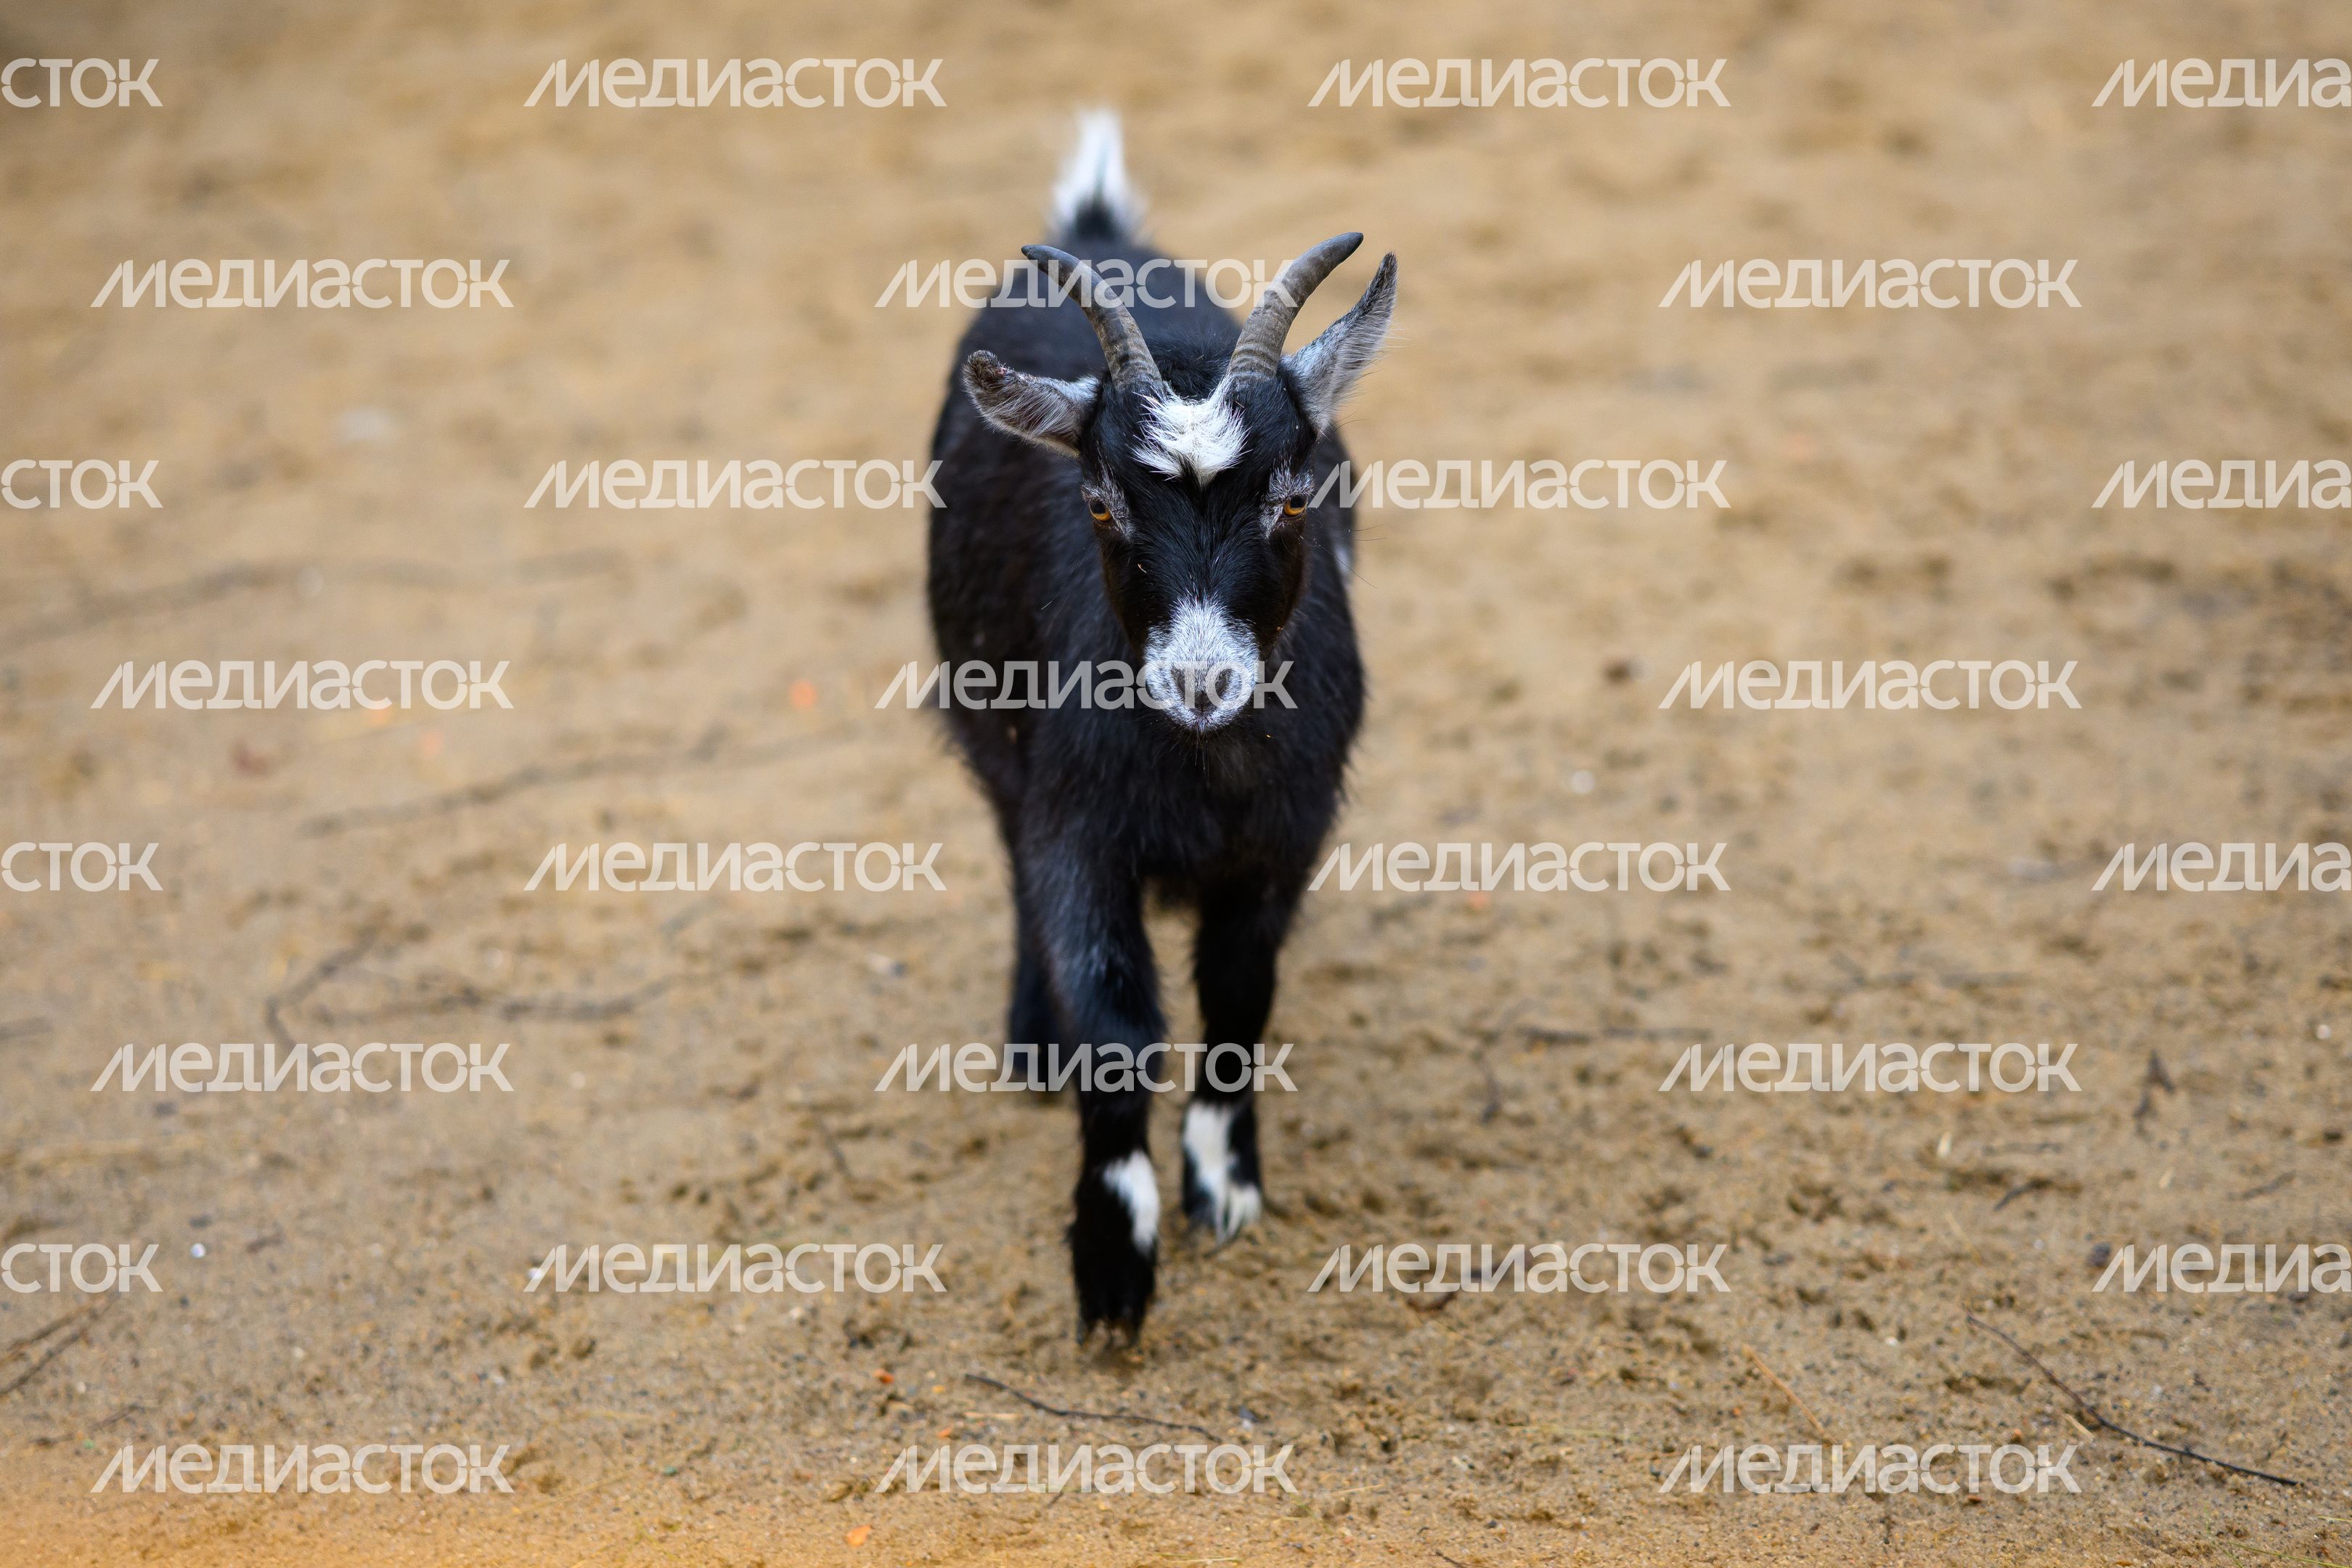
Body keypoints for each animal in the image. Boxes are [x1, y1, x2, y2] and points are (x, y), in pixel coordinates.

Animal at [925, 114, 1395, 1335]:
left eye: (1293, 494)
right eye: (1100, 505)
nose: (1200, 684)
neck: (1205, 765)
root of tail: (1100, 234)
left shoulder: (1284, 842)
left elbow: (1236, 999)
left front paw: (1225, 1189)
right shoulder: (1077, 830)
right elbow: (1117, 1024)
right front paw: (1111, 1261)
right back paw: (1030, 1039)